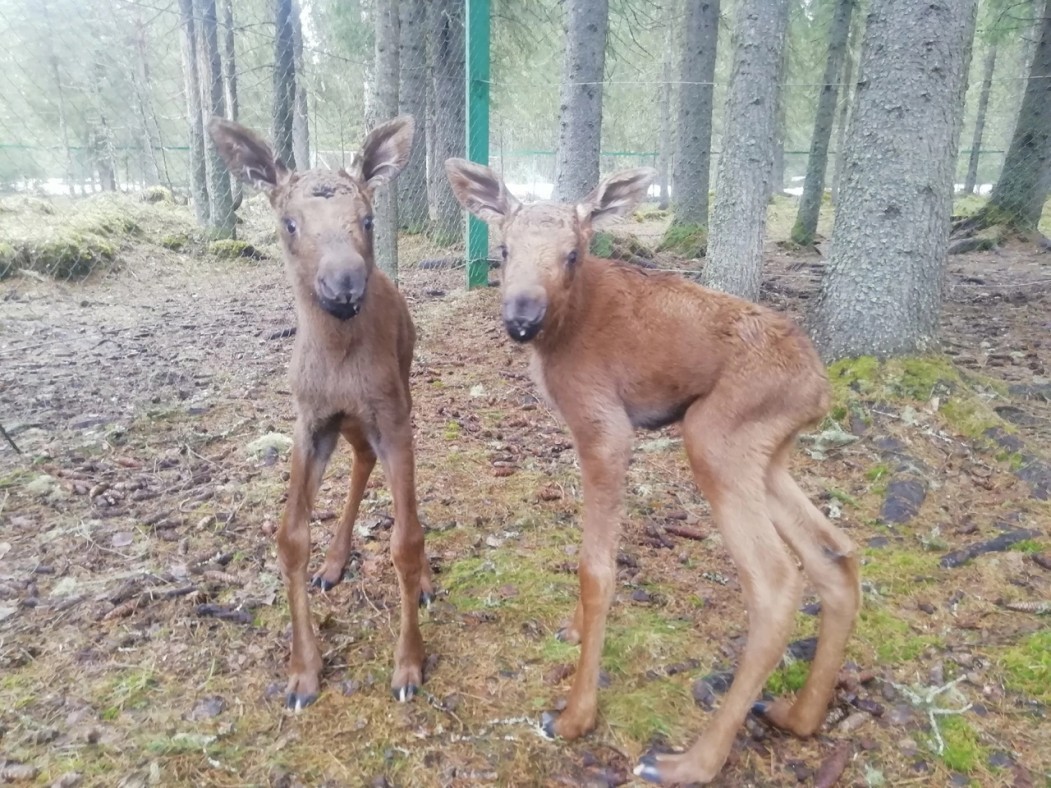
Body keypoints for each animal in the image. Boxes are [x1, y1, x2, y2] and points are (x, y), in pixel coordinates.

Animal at [211, 113, 433, 714]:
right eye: (289, 223)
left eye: (368, 218)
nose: (345, 281)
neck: (339, 362)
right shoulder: (309, 420)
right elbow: (290, 538)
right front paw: (302, 672)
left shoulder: (392, 416)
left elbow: (406, 540)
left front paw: (408, 664)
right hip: (345, 424)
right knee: (360, 458)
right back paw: (334, 563)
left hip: (402, 384)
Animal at [443, 158, 861, 785]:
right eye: (504, 248)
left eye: (573, 253)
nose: (520, 319)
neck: (560, 336)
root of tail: (820, 389)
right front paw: (571, 628)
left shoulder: (607, 429)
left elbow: (597, 569)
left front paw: (575, 715)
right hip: (767, 453)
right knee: (835, 552)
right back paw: (798, 715)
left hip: (713, 437)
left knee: (775, 581)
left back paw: (691, 761)